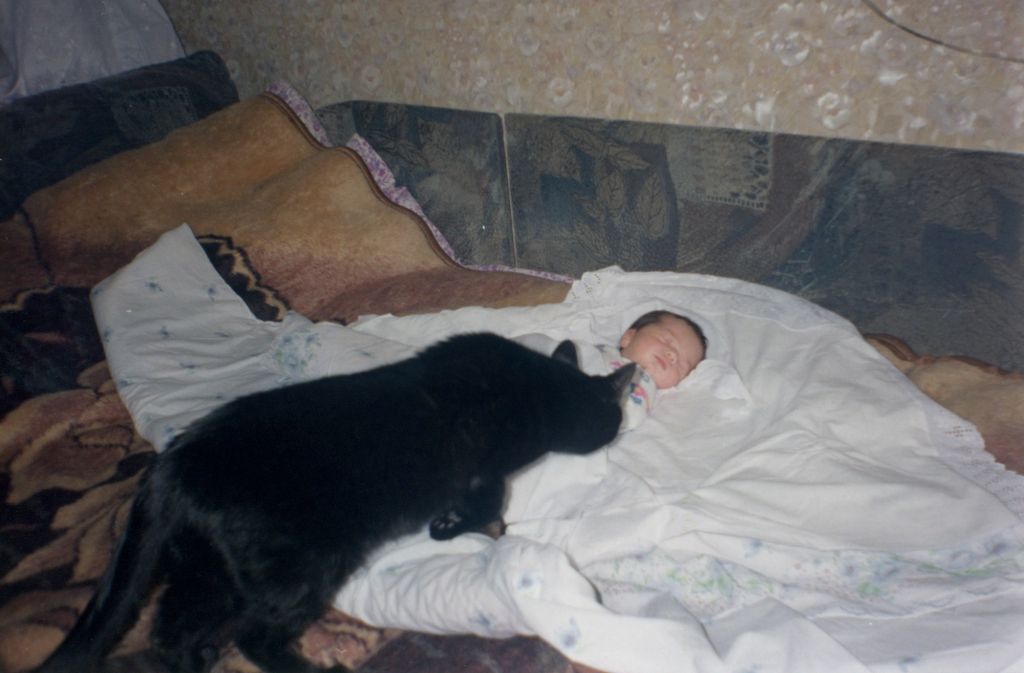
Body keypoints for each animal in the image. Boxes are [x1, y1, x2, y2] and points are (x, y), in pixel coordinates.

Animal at [37, 333, 630, 671]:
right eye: (615, 417)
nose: (619, 430)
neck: (536, 386)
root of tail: (167, 467)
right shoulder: (484, 474)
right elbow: (486, 509)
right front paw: (465, 529)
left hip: (208, 573)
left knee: (168, 627)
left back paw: (196, 660)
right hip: (301, 569)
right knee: (252, 637)